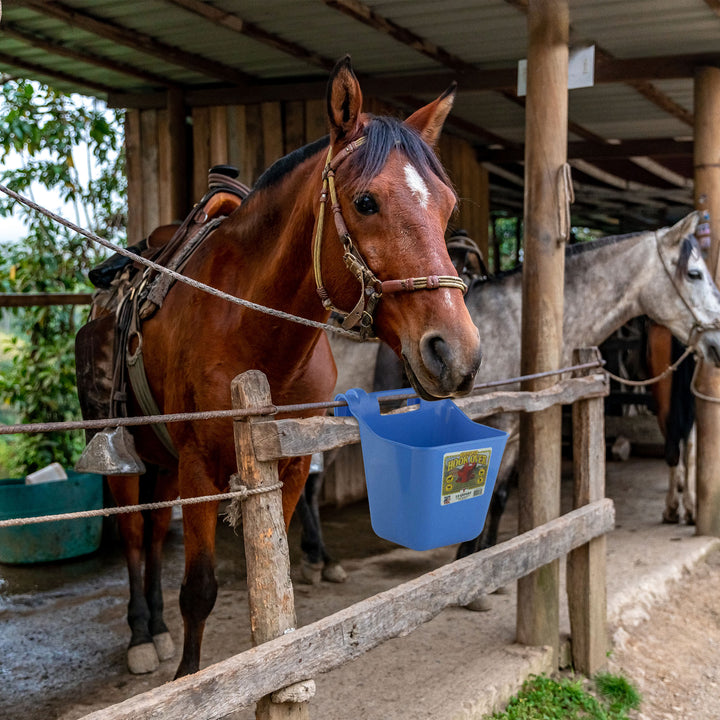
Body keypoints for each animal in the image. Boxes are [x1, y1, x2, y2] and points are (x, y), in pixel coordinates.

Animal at [76, 57, 480, 680]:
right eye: (366, 202)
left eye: (447, 205)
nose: (454, 352)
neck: (250, 328)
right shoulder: (199, 468)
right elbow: (199, 589)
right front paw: (191, 679)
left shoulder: (288, 465)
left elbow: (277, 577)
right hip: (125, 458)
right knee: (135, 537)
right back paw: (143, 635)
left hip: (162, 463)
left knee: (152, 536)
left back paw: (157, 630)